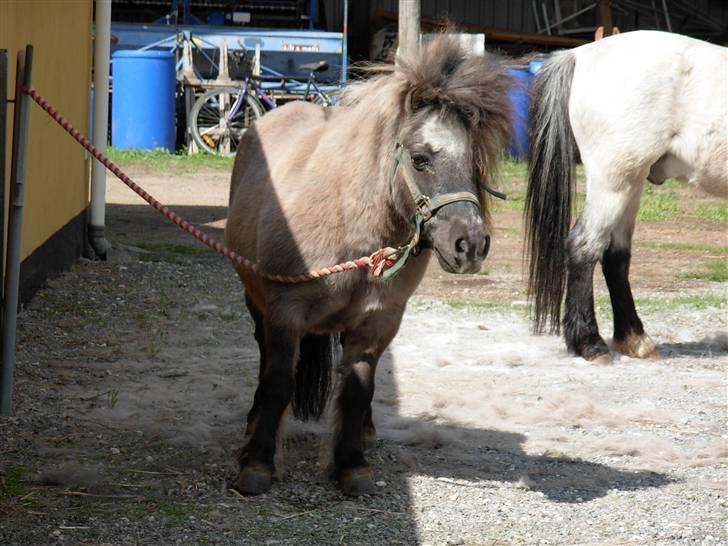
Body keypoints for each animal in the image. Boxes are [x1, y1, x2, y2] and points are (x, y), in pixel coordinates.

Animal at [225, 34, 516, 492]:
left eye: (475, 162)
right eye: (420, 158)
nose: (469, 244)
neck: (349, 226)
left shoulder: (378, 322)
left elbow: (358, 388)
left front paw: (351, 464)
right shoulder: (284, 314)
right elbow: (278, 382)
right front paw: (257, 464)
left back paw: (365, 429)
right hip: (255, 301)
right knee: (262, 356)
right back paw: (255, 421)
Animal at [528, 30, 724, 362]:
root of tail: (581, 54)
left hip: (630, 186)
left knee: (615, 256)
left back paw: (633, 338)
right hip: (613, 182)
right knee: (584, 246)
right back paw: (590, 343)